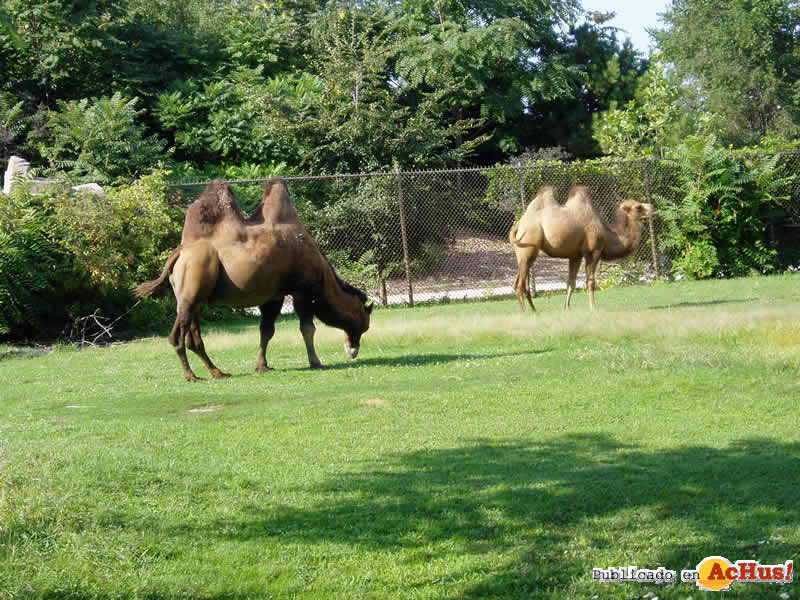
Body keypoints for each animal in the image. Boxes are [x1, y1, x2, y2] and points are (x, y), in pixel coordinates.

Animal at [134, 179, 376, 384]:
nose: (353, 350)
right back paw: (192, 376)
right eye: (363, 324)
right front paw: (316, 362)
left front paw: (262, 366)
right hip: (192, 287)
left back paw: (218, 372)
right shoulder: (302, 290)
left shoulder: (274, 295)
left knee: (193, 338)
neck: (323, 275)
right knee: (176, 337)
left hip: (196, 298)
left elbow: (266, 330)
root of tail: (180, 252)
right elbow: (308, 328)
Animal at [510, 185, 652, 312]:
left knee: (522, 282)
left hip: (526, 253)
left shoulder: (575, 256)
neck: (607, 234)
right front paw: (593, 308)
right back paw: (526, 313)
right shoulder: (593, 251)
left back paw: (535, 311)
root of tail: (519, 224)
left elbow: (571, 284)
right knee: (518, 285)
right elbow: (590, 282)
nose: (652, 208)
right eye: (638, 207)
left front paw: (567, 309)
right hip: (528, 245)